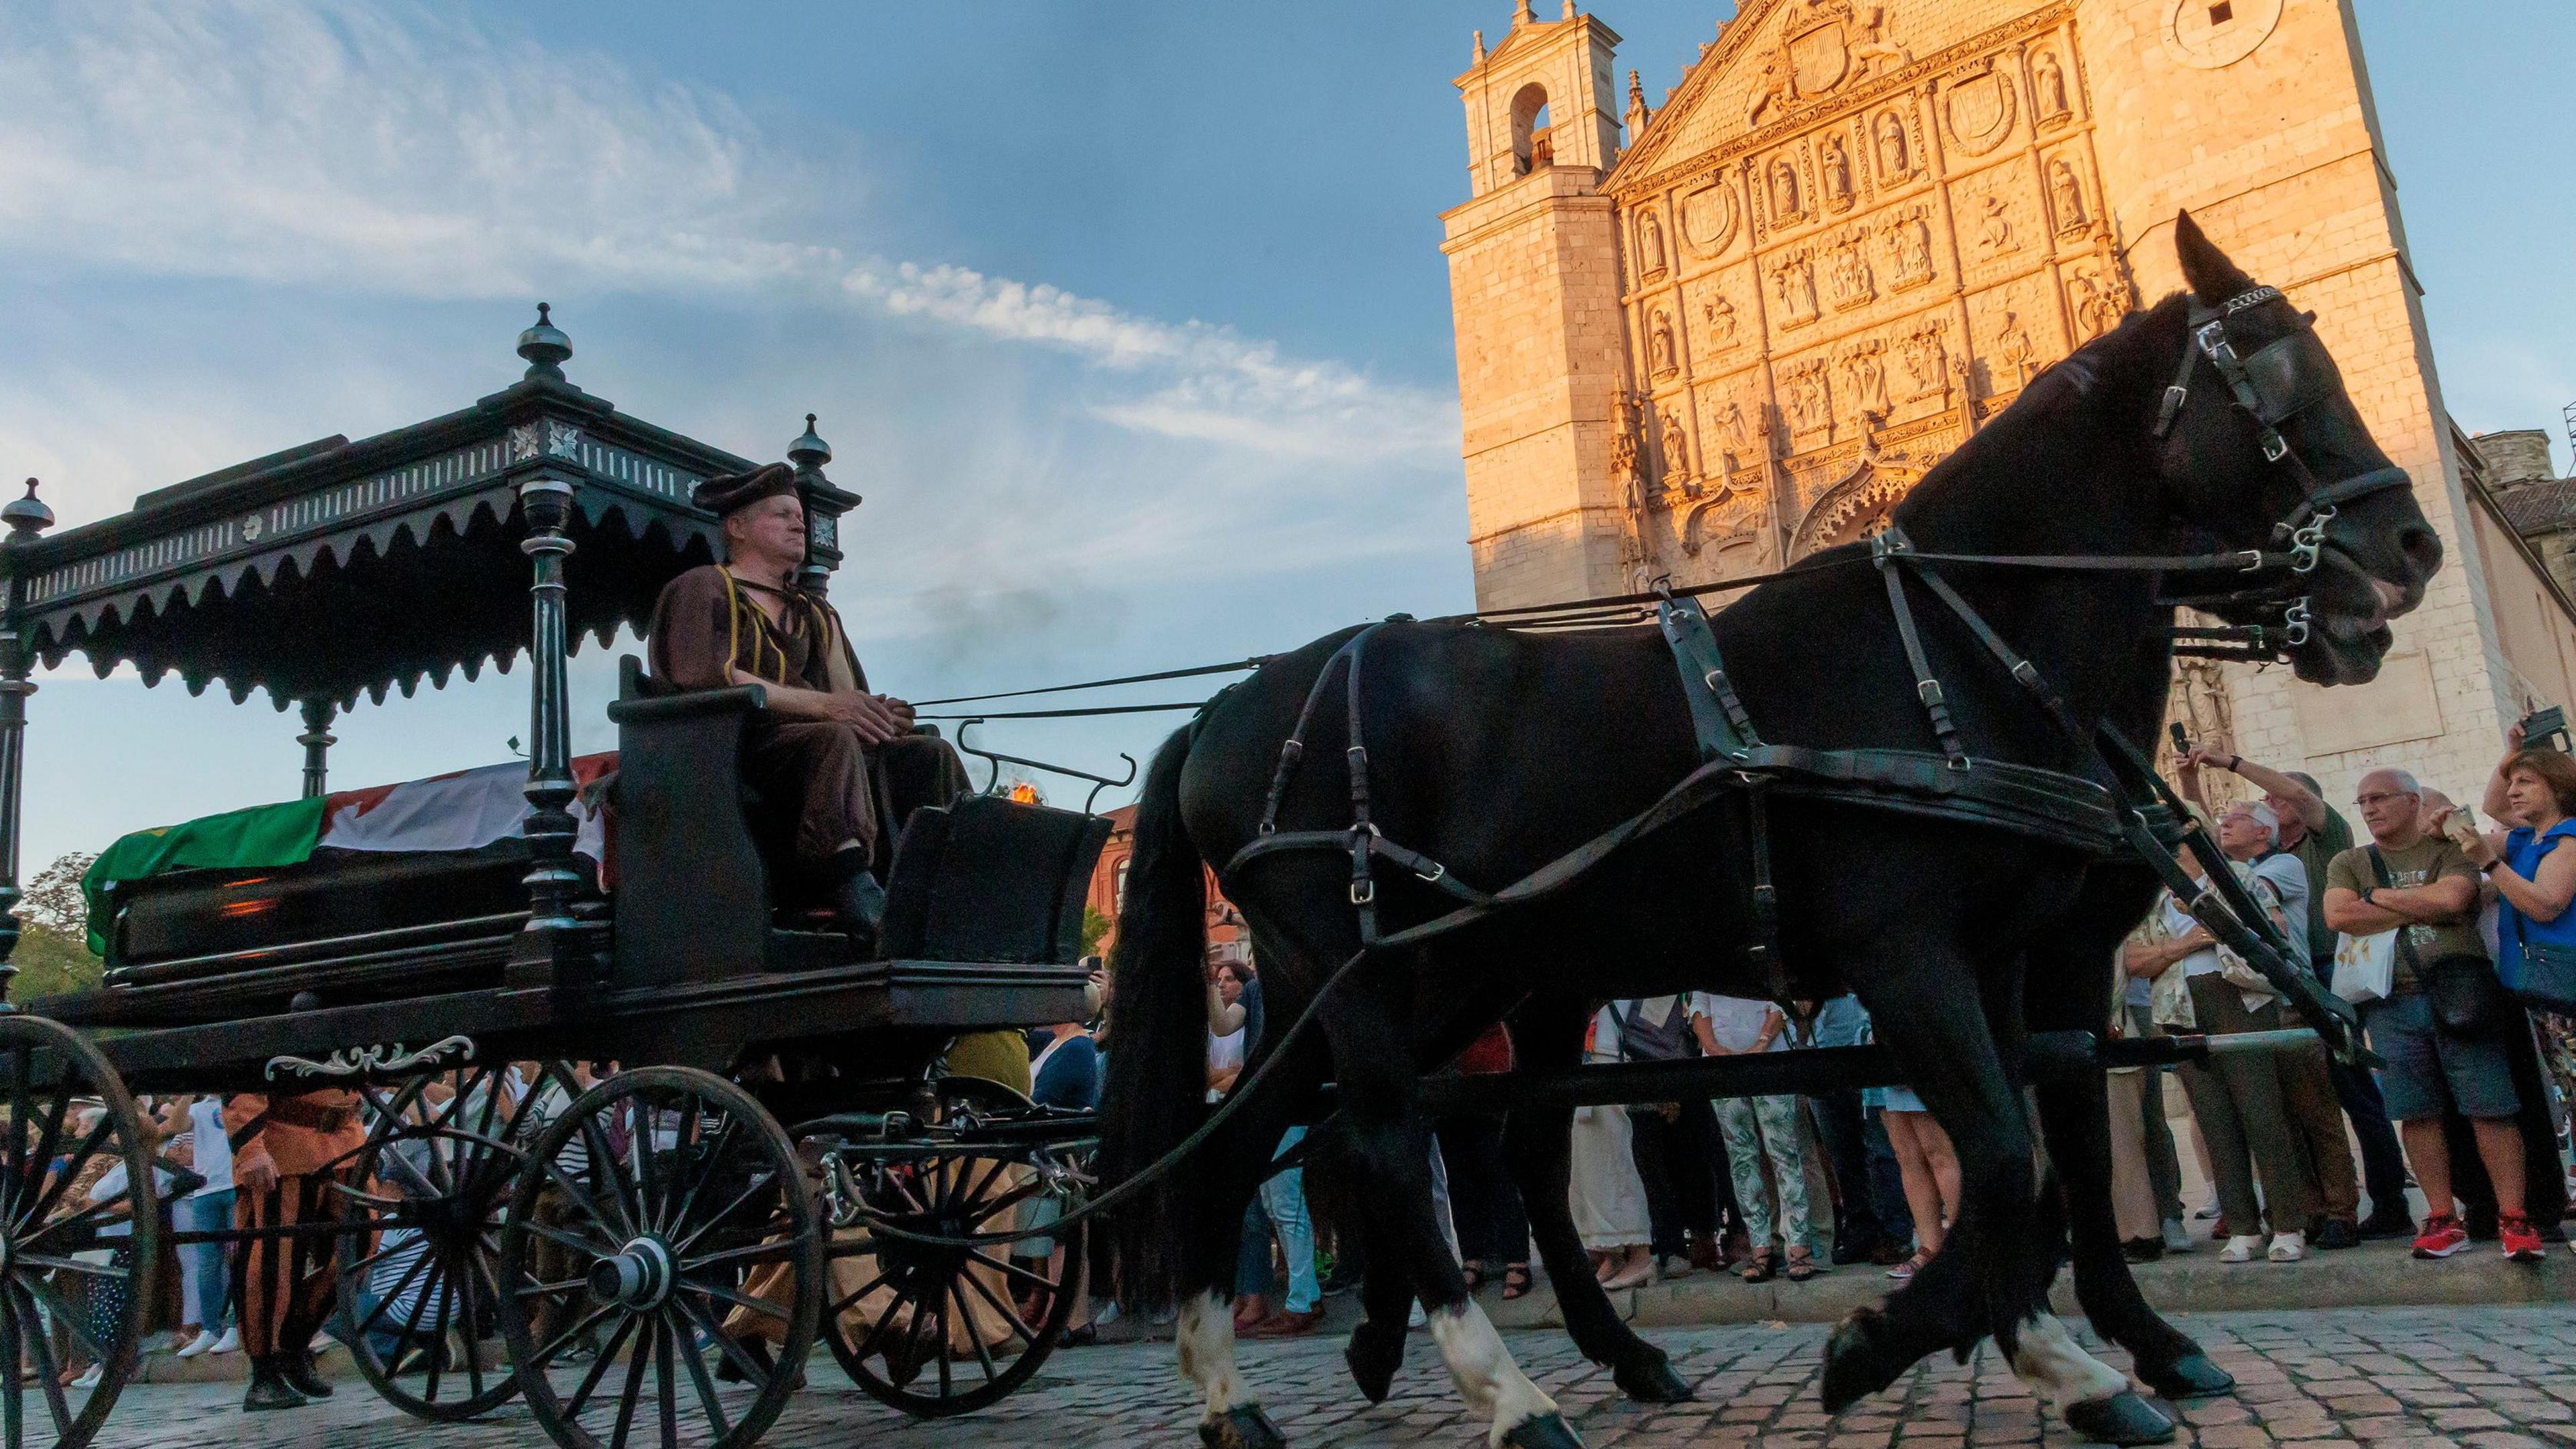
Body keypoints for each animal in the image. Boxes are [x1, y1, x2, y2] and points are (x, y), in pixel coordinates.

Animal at [1102, 214, 2431, 1444]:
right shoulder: (1914, 954)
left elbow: (2035, 1161)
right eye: (2282, 383)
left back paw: (1259, 1386)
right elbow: (2014, 1158)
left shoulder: (2010, 956)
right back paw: (1504, 1392)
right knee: (1384, 1148)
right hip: (1370, 978)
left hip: (1391, 986)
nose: (2406, 551)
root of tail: (1227, 706)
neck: (1946, 647)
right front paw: (1899, 1345)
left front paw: (2053, 1350)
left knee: (1282, 1151)